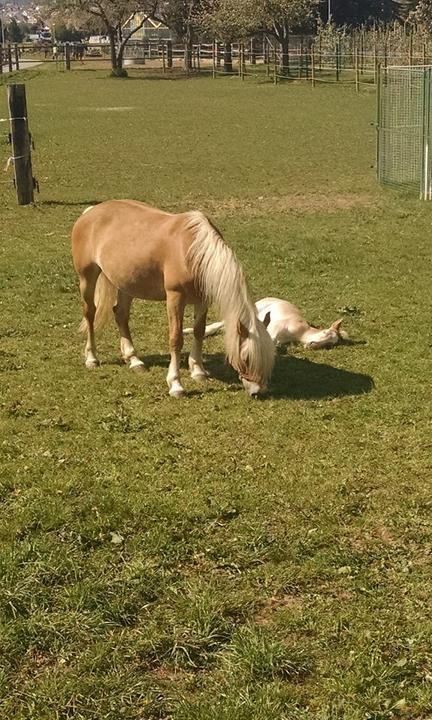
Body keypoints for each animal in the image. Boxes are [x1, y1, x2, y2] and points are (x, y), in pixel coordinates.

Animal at [70, 200, 274, 396]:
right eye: (246, 357)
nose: (258, 391)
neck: (192, 251)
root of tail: (90, 212)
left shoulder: (202, 300)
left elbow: (199, 331)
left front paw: (198, 371)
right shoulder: (176, 298)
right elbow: (176, 339)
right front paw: (176, 384)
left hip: (126, 284)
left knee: (120, 314)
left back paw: (135, 360)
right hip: (87, 278)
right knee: (90, 313)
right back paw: (92, 358)